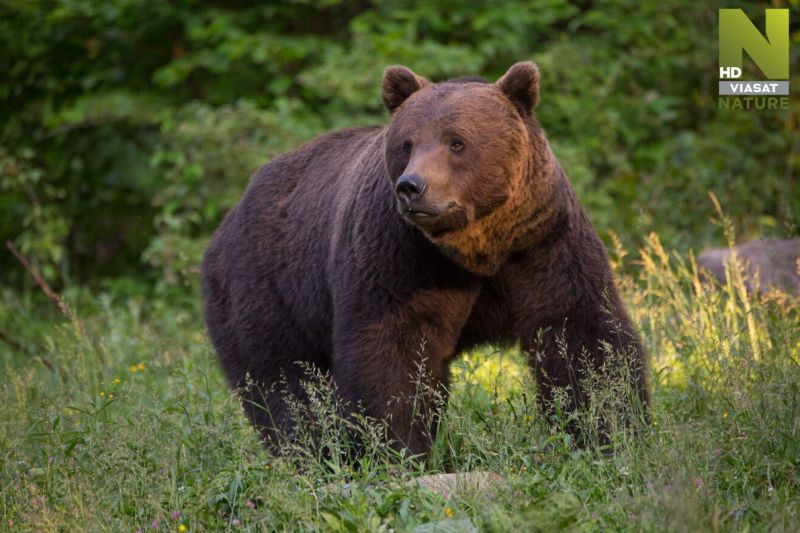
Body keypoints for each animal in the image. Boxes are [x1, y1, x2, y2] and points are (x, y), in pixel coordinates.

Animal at [202, 61, 648, 454]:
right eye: (407, 143)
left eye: (457, 141)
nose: (411, 187)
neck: (478, 249)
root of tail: (228, 220)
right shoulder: (401, 257)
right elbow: (393, 353)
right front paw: (394, 447)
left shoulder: (541, 243)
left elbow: (582, 337)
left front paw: (611, 430)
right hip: (267, 287)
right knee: (285, 383)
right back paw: (312, 452)